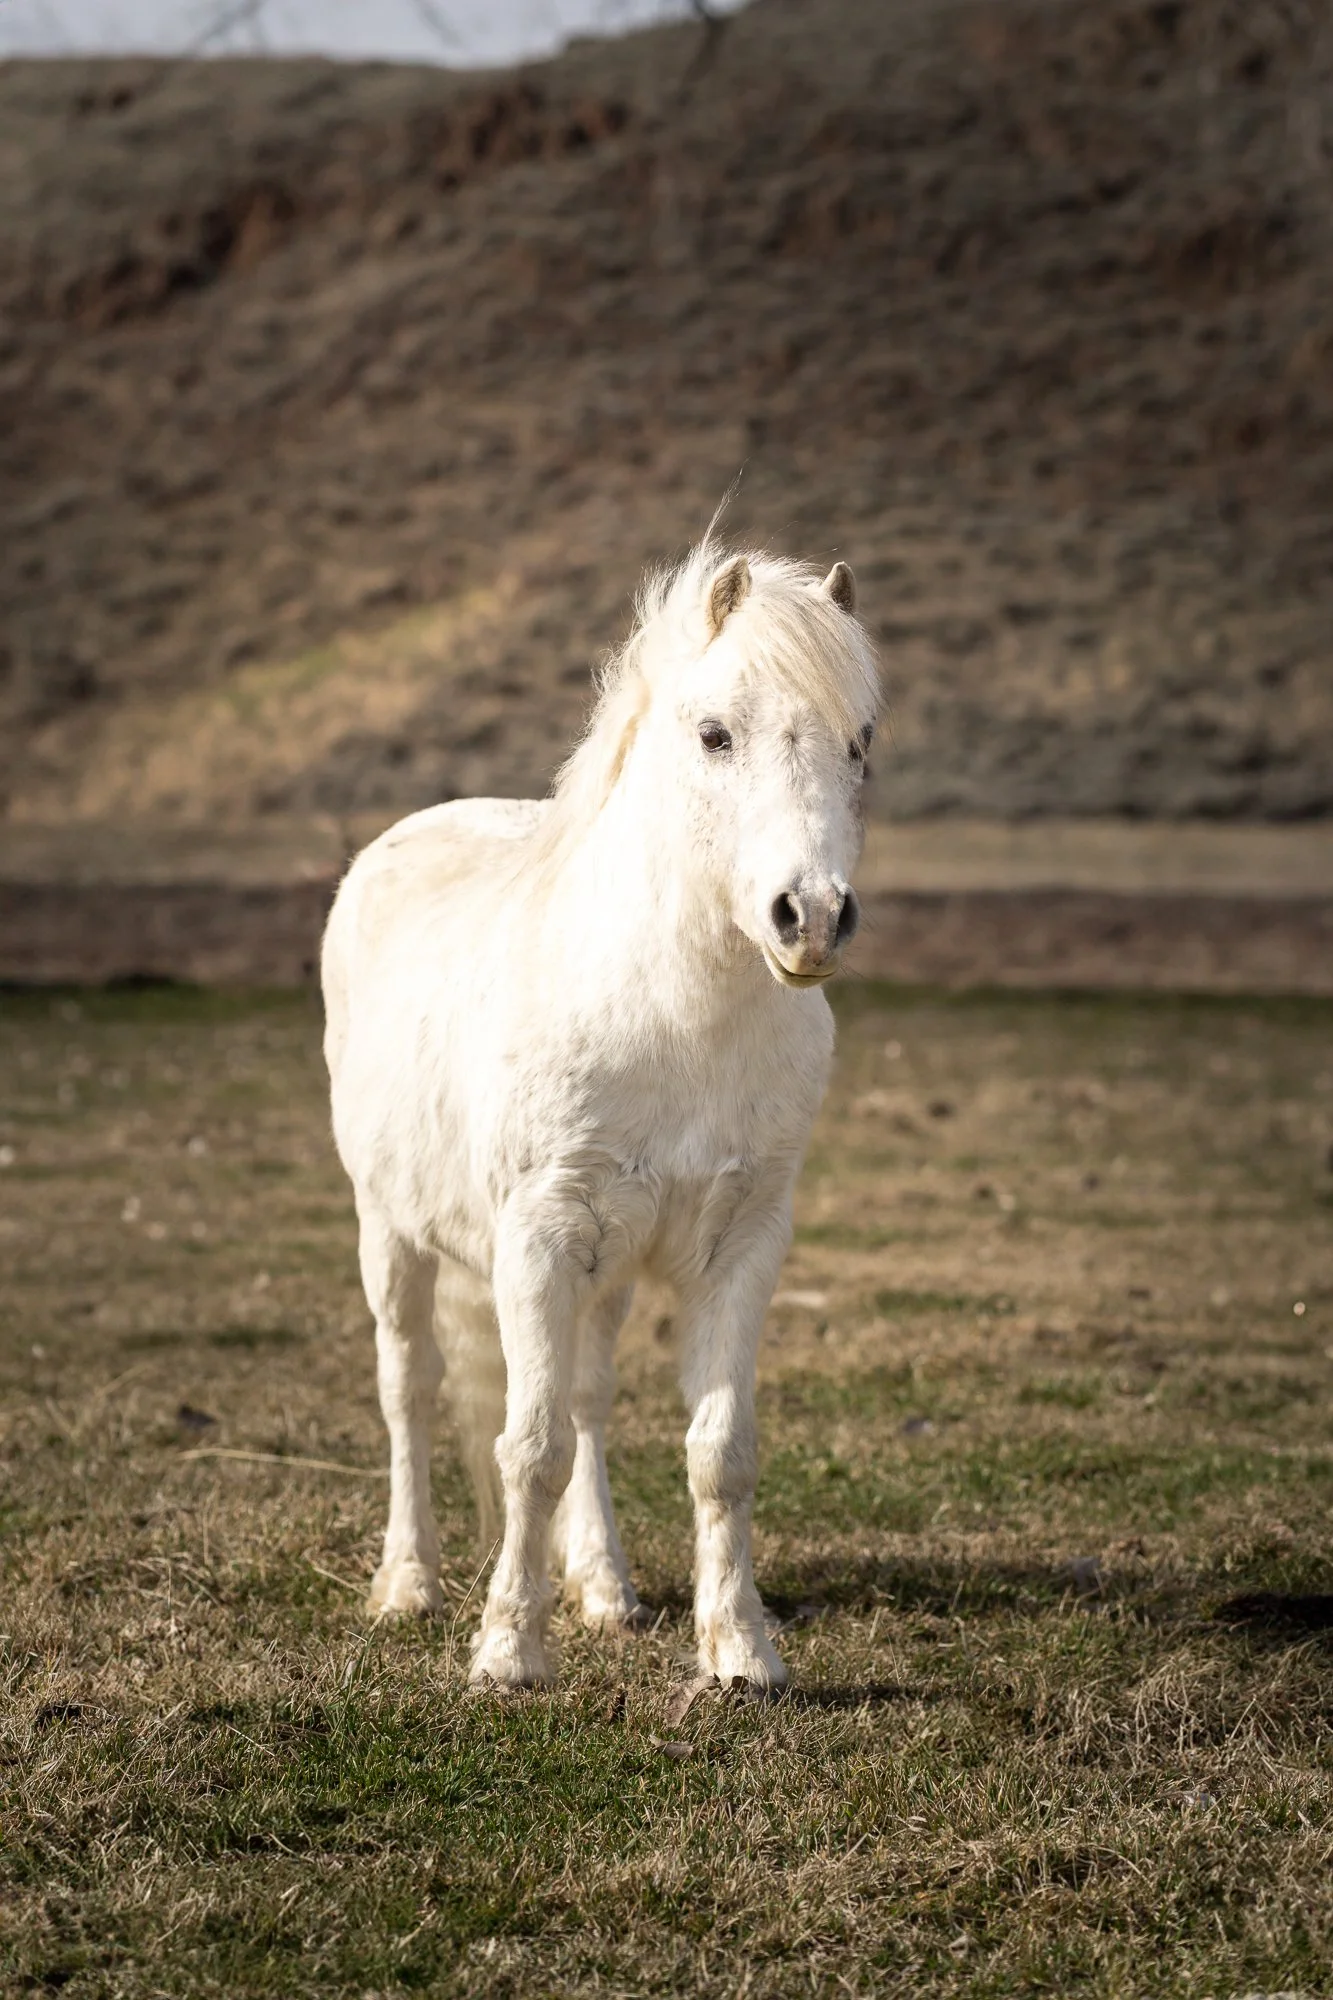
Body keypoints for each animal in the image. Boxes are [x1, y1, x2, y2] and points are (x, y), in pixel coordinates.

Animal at [321, 540, 879, 1690]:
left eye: (861, 742)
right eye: (715, 733)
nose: (809, 918)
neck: (671, 1014)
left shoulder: (739, 1244)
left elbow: (716, 1452)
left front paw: (740, 1652)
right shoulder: (537, 1238)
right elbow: (524, 1447)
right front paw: (506, 1651)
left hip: (608, 1272)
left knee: (585, 1399)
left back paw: (605, 1589)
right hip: (389, 1232)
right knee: (410, 1390)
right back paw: (407, 1584)